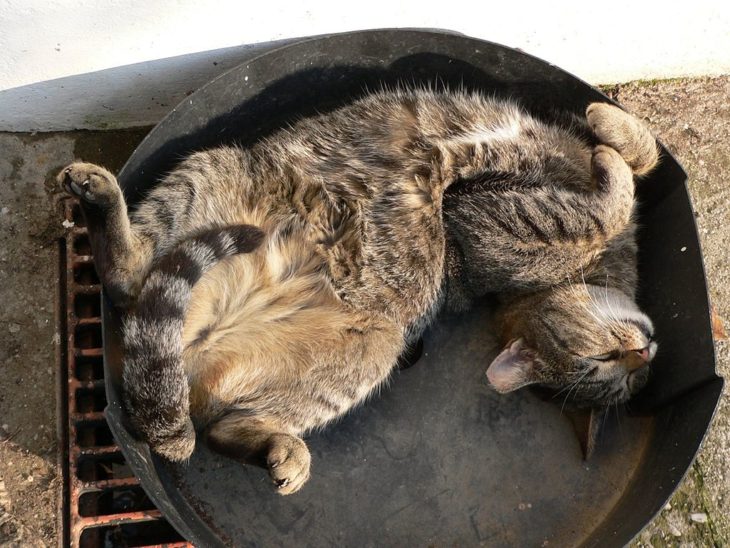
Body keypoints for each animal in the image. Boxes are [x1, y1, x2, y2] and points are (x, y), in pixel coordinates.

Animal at [59, 89, 656, 492]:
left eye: (627, 376)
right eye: (601, 359)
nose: (645, 351)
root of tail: (195, 339)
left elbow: (611, 197)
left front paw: (610, 153)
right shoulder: (477, 214)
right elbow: (627, 175)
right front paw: (609, 135)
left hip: (371, 351)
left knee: (217, 430)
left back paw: (280, 452)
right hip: (215, 167)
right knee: (125, 280)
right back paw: (97, 192)